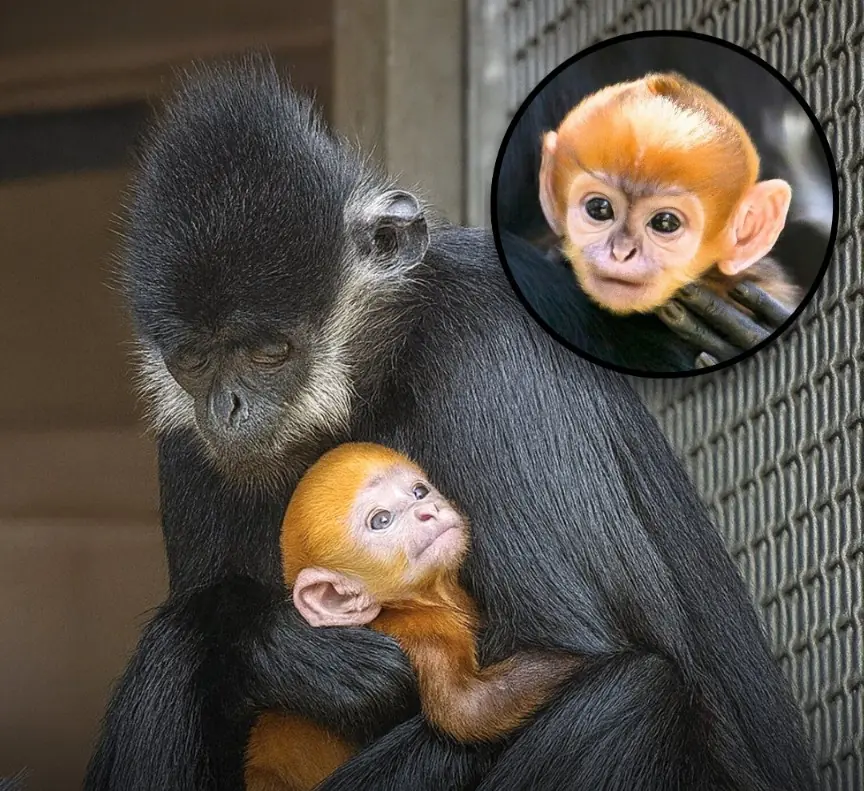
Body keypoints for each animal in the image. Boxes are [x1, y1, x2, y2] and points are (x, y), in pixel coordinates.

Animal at [245, 443, 580, 791]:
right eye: (381, 520)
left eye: (419, 491)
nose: (428, 510)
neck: (416, 603)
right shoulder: (425, 636)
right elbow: (467, 712)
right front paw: (565, 660)